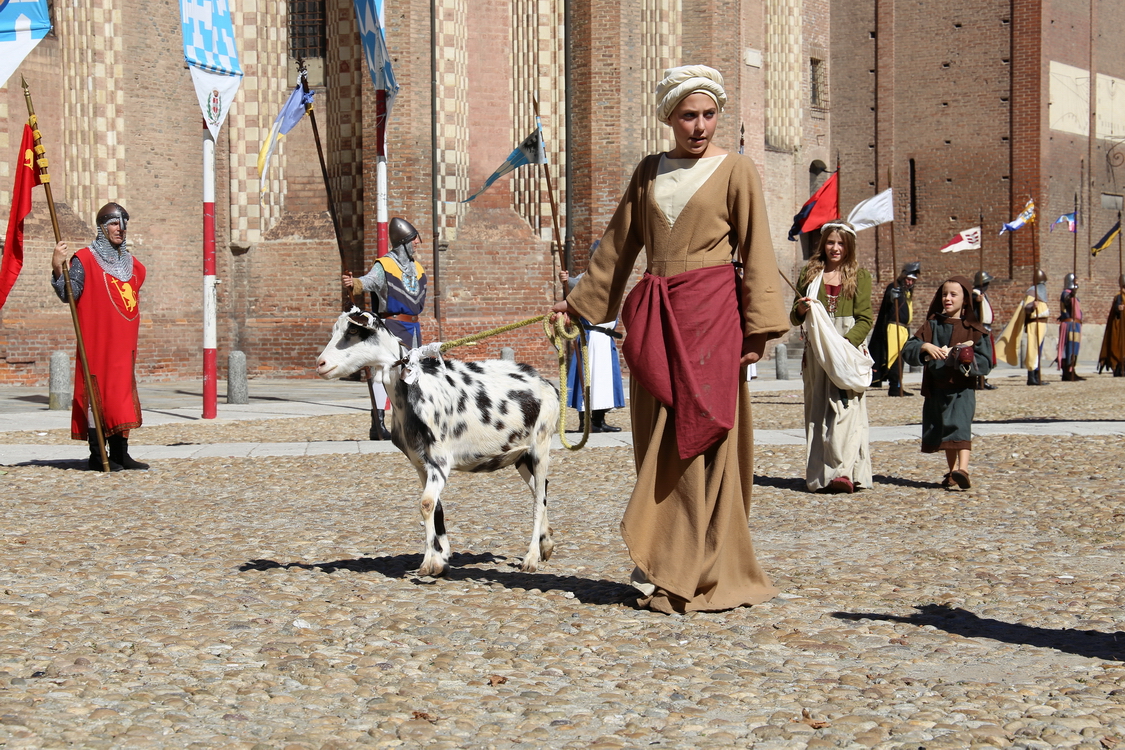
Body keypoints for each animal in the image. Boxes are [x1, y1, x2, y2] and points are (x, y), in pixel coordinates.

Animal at [315, 308, 560, 580]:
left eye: (354, 331)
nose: (321, 364)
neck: (415, 390)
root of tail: (548, 384)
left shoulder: (440, 460)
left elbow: (425, 504)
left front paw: (430, 562)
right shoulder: (421, 463)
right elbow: (435, 506)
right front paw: (440, 559)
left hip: (541, 445)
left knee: (538, 498)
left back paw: (531, 558)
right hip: (520, 456)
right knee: (541, 489)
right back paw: (546, 544)